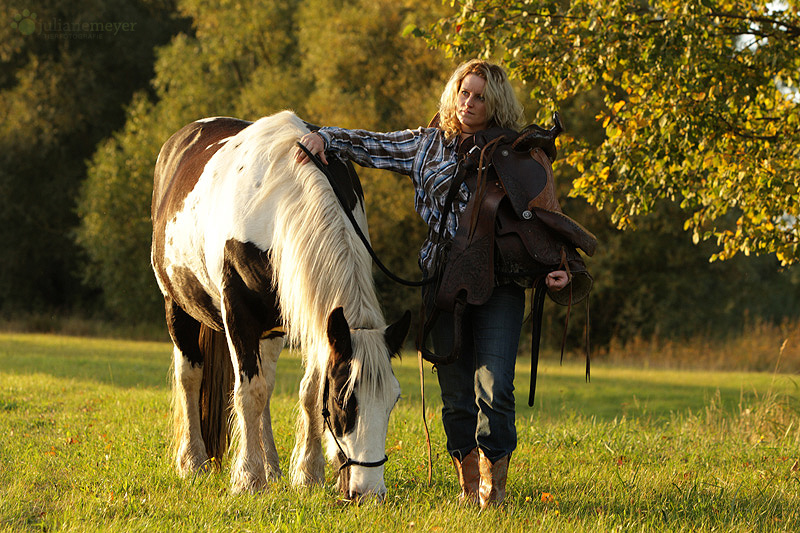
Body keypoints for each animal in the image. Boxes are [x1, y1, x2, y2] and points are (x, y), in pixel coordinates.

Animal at [152, 110, 410, 496]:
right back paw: (194, 462)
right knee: (191, 376)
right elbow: (248, 392)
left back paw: (271, 467)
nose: (369, 493)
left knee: (267, 385)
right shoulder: (238, 313)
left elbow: (304, 392)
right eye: (342, 399)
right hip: (177, 306)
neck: (278, 199)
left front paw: (307, 473)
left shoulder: (317, 318)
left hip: (272, 327)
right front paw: (247, 478)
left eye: (393, 399)